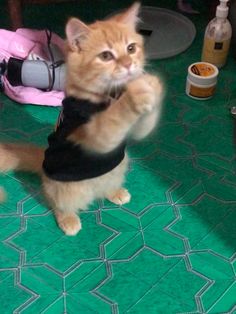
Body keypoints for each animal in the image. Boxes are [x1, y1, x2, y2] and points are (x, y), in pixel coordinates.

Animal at [0, 3, 162, 236]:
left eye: (131, 48)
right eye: (106, 56)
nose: (129, 64)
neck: (107, 96)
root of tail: (43, 164)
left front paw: (152, 85)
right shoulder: (96, 136)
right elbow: (116, 115)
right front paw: (136, 92)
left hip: (120, 165)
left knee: (104, 187)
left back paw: (115, 192)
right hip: (67, 188)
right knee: (56, 202)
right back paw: (68, 220)